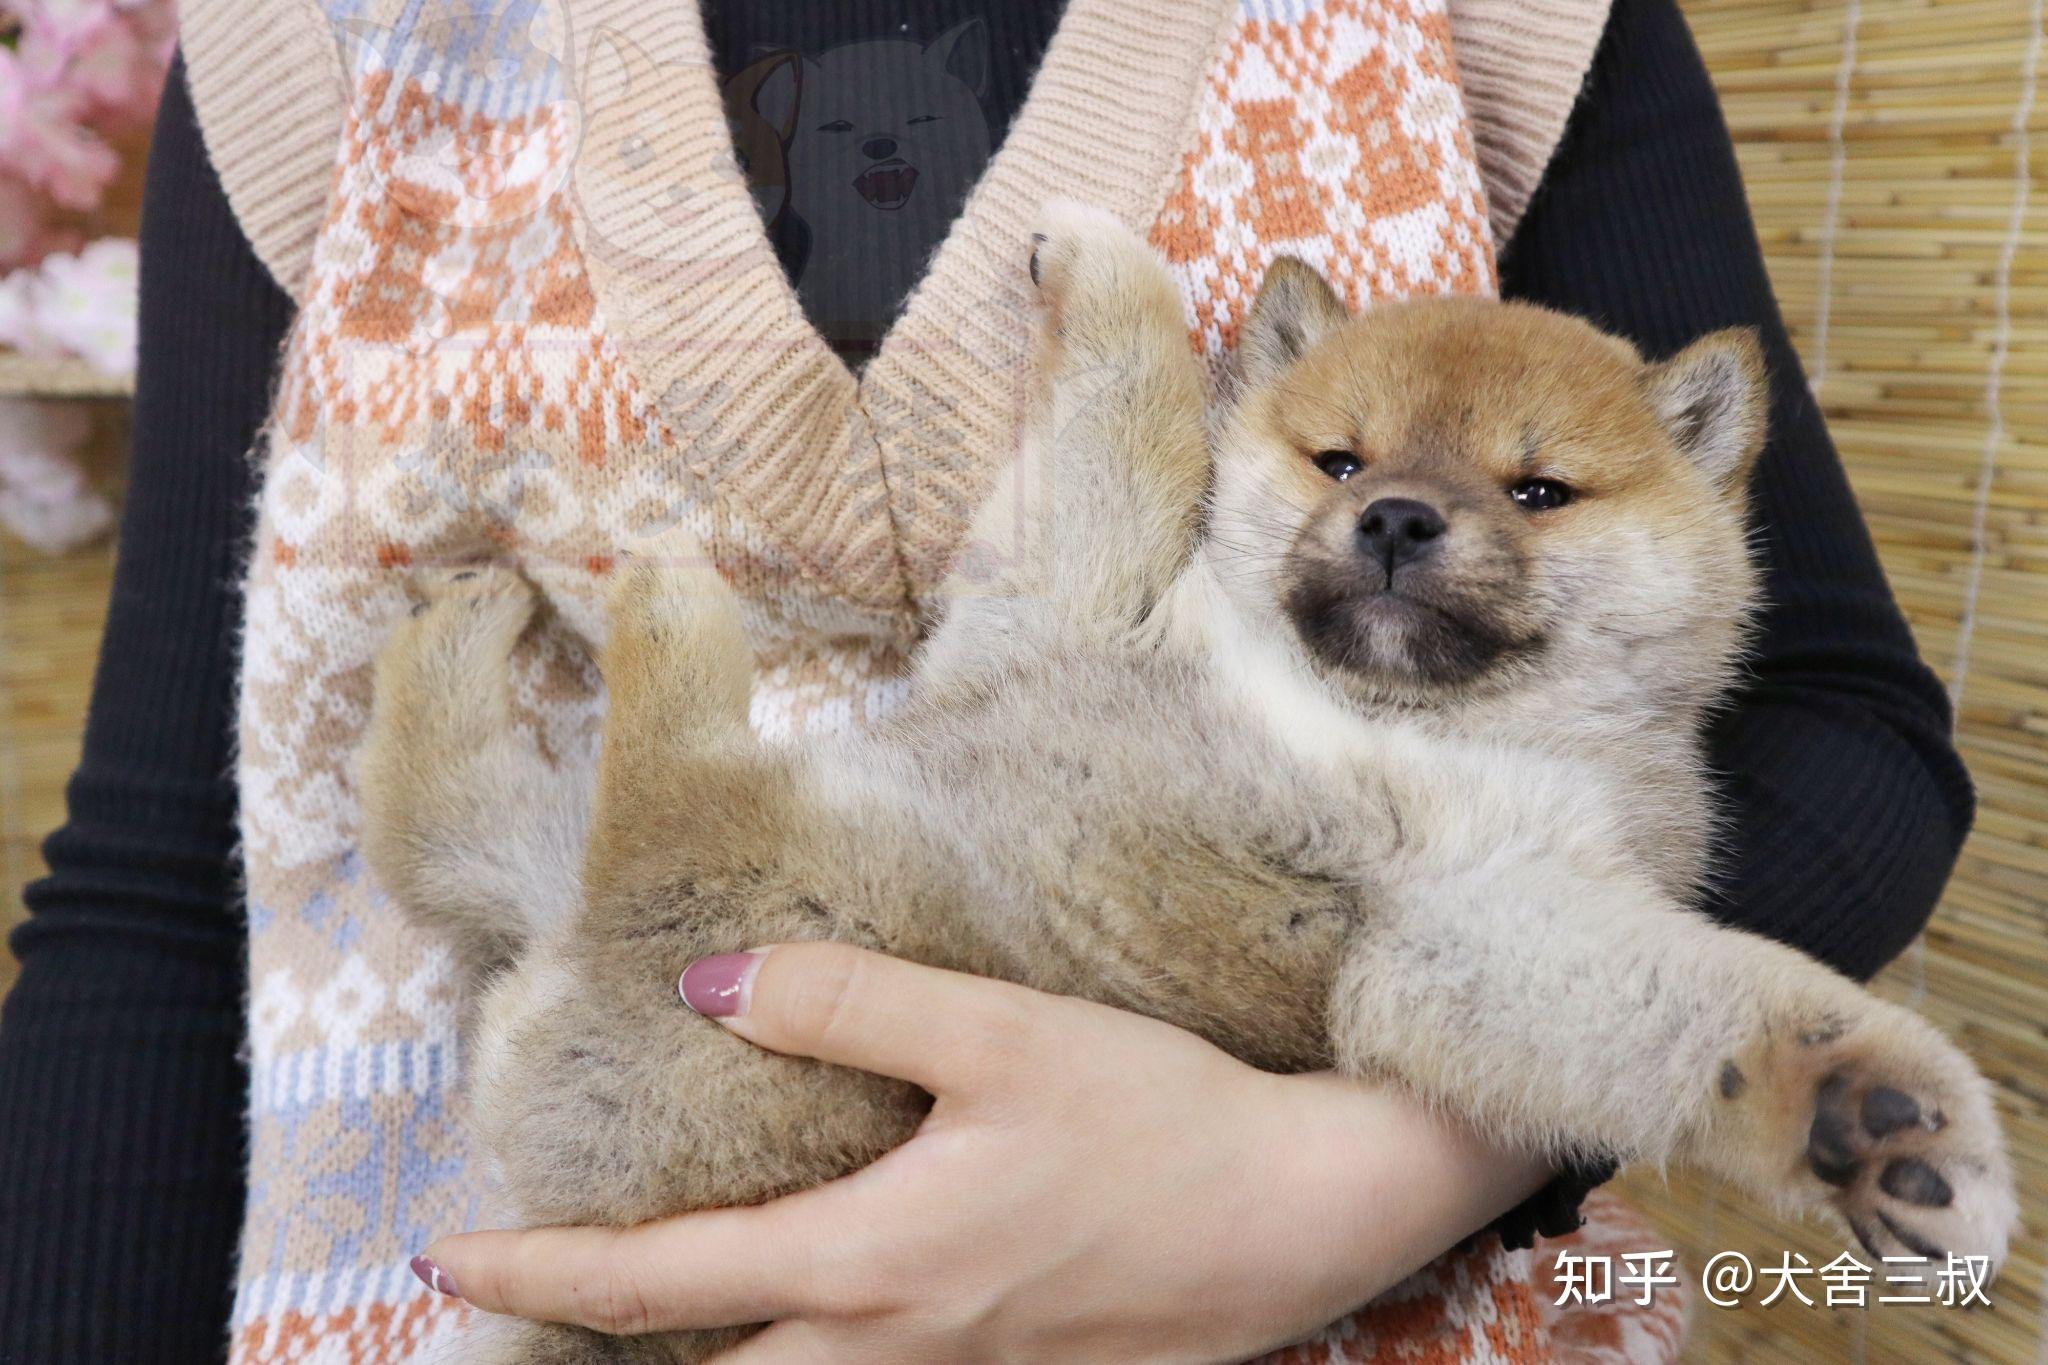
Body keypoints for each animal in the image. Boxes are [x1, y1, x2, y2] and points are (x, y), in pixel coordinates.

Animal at [364, 205, 2015, 1365]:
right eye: (1342, 459)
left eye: (1538, 490)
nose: (1399, 518)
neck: (1363, 707)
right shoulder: (1072, 603)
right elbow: (1143, 413)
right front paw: (1104, 262)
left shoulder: (1463, 916)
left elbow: (1702, 1003)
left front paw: (1869, 1113)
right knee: (447, 833)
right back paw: (475, 624)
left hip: (805, 901)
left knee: (662, 788)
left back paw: (655, 590)